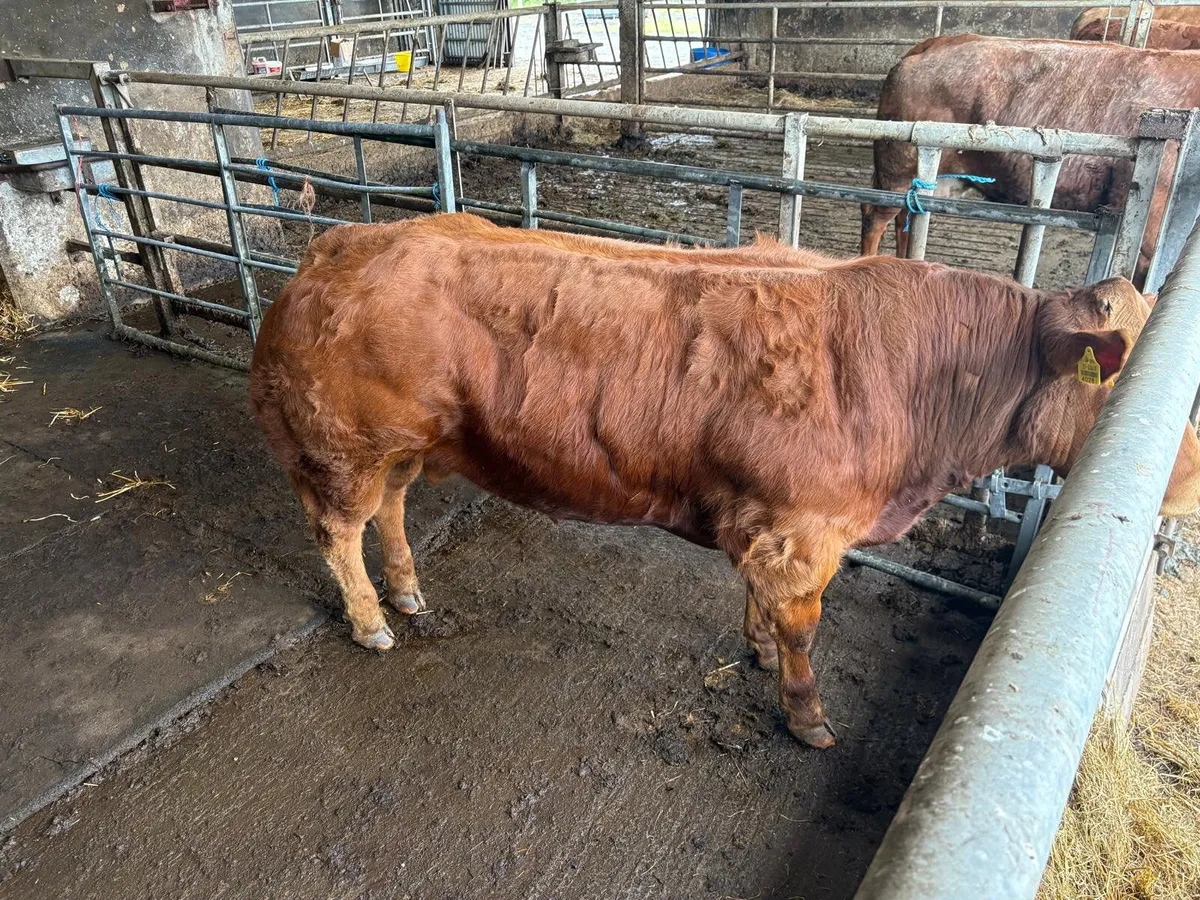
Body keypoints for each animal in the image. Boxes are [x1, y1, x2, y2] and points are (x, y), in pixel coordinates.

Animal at [249, 213, 1200, 748]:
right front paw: (805, 716)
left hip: (409, 443)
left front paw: (756, 647)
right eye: (1122, 378)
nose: (1183, 479)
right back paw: (372, 621)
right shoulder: (804, 529)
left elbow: (762, 607)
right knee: (340, 530)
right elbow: (806, 630)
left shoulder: (766, 519)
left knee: (394, 507)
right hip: (343, 446)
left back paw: (409, 593)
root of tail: (340, 243)